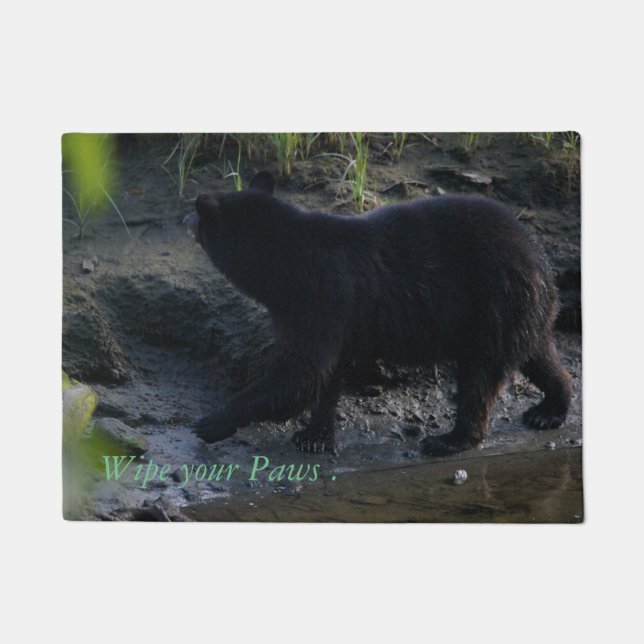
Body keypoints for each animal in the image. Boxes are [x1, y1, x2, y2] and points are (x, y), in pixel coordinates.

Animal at [183, 171, 571, 455]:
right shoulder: (336, 316)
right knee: (540, 357)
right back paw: (550, 408)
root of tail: (541, 260)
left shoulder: (319, 297)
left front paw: (210, 421)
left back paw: (450, 439)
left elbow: (302, 374)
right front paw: (315, 435)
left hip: (494, 305)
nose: (187, 212)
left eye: (199, 217)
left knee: (480, 378)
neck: (281, 264)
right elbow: (326, 375)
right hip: (520, 313)